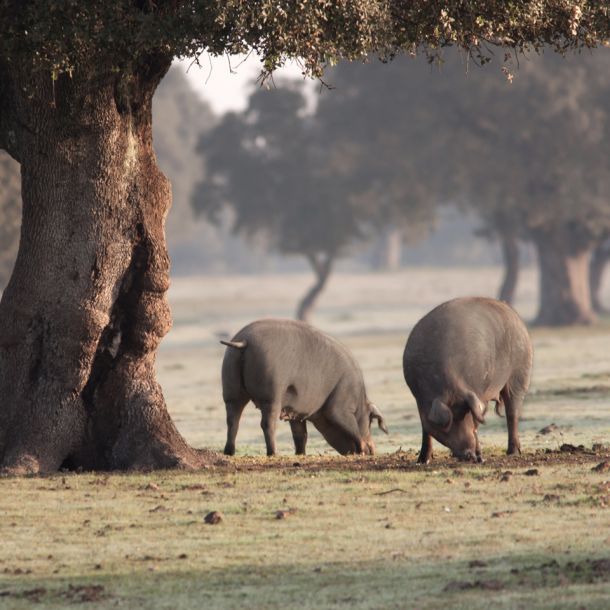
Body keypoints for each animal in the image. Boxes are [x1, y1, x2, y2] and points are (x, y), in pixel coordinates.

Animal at [221, 316, 388, 454]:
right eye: (370, 420)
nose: (373, 451)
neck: (359, 399)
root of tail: (244, 341)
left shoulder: (295, 412)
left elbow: (301, 435)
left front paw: (300, 454)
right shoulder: (340, 408)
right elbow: (351, 427)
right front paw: (361, 449)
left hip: (231, 389)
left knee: (232, 420)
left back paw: (229, 452)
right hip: (271, 394)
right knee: (267, 424)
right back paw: (273, 453)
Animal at [402, 296, 528, 460]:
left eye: (464, 413)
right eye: (446, 426)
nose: (469, 455)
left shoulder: (477, 392)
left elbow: (476, 423)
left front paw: (480, 457)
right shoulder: (419, 398)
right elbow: (425, 428)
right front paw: (423, 461)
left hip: (521, 371)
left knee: (512, 412)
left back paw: (513, 453)